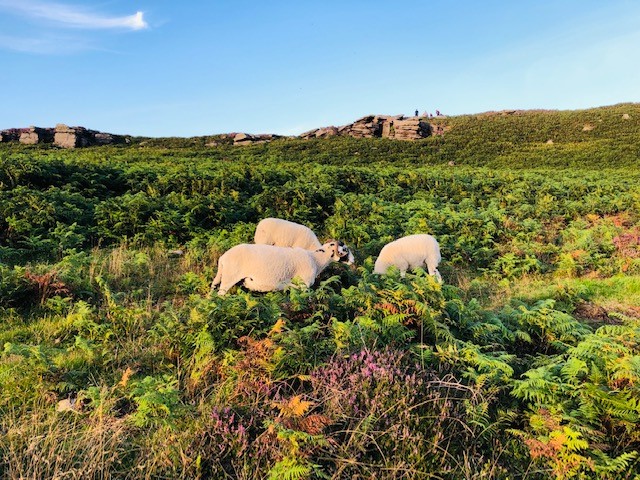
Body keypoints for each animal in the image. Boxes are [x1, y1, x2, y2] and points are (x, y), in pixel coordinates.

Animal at [211, 240, 352, 295]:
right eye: (344, 250)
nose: (353, 261)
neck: (316, 259)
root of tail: (223, 258)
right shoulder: (304, 285)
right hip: (229, 278)